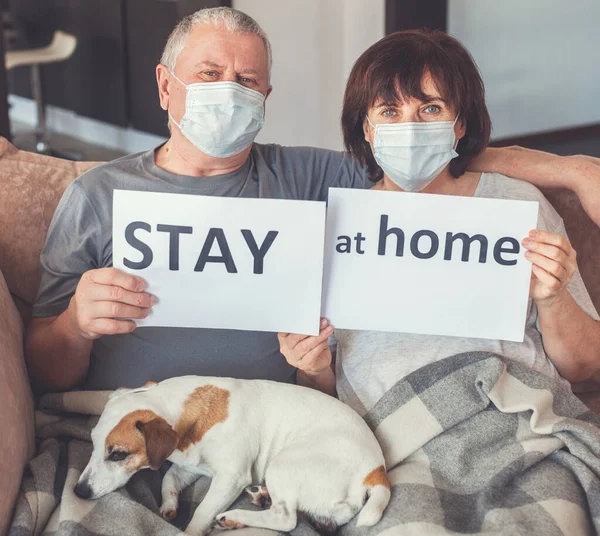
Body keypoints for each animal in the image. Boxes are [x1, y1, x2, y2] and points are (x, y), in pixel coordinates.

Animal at [72, 374, 392, 532]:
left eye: (117, 454)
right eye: (93, 443)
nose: (79, 491)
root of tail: (376, 472)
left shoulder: (230, 477)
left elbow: (202, 511)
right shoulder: (190, 465)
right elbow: (168, 479)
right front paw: (168, 505)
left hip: (282, 465)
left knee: (287, 519)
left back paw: (236, 515)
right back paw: (258, 500)